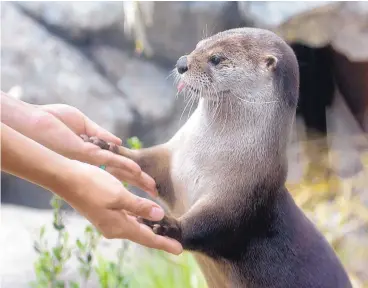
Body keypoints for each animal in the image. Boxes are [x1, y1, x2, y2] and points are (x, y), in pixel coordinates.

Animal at [82, 27, 350, 288]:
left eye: (216, 58)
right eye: (199, 45)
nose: (182, 63)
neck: (204, 157)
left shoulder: (239, 196)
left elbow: (210, 226)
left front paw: (167, 226)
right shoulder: (172, 161)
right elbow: (144, 161)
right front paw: (105, 146)